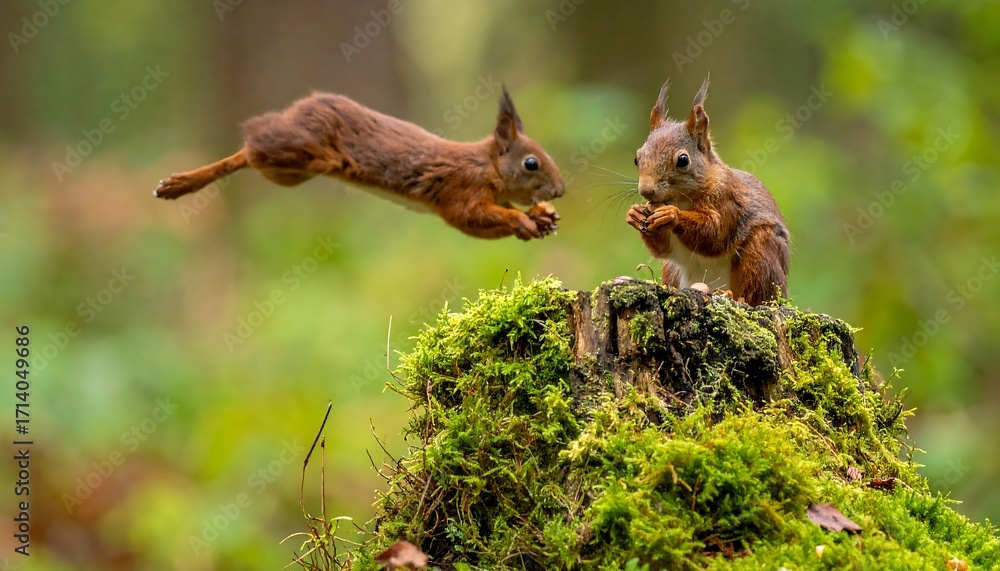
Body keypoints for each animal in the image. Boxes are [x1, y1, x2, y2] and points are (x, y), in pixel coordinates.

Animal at [154, 86, 564, 240]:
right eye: (531, 163)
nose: (560, 190)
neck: (487, 167)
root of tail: (303, 106)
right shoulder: (459, 192)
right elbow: (472, 218)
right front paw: (520, 221)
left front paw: (544, 217)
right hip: (300, 152)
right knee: (249, 148)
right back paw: (180, 183)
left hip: (288, 173)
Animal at [625, 79, 790, 305]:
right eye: (636, 158)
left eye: (683, 160)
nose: (646, 190)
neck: (680, 199)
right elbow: (663, 249)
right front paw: (634, 214)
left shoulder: (726, 199)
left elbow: (715, 233)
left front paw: (672, 215)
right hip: (672, 270)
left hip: (761, 253)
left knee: (755, 292)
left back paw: (734, 296)